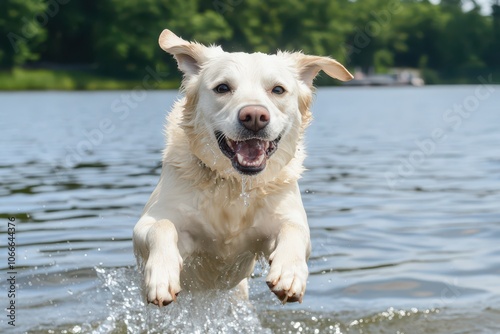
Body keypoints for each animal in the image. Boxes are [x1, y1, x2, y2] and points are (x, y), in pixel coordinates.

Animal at [133, 30, 352, 306]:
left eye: (278, 89)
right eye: (222, 88)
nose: (255, 117)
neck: (235, 185)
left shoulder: (280, 225)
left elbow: (294, 230)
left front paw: (290, 274)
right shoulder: (146, 226)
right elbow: (162, 226)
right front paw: (162, 276)